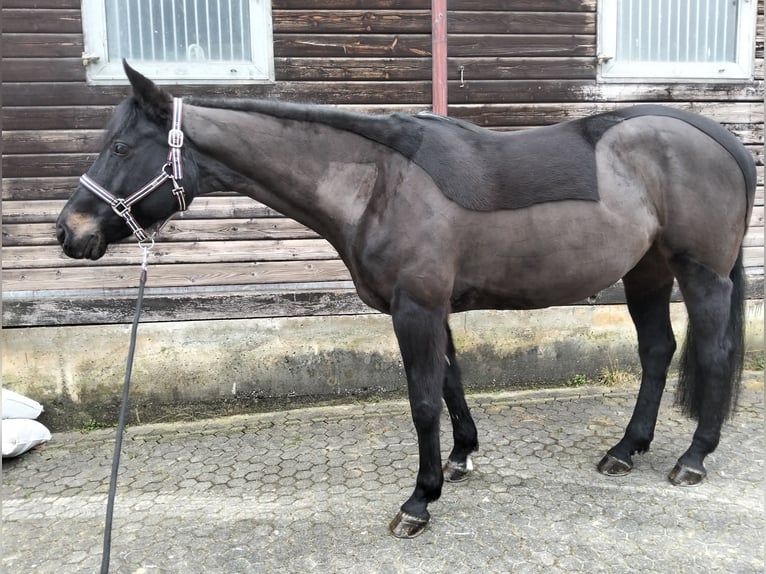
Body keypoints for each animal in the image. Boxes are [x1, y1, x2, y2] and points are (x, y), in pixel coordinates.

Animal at [57, 61, 756, 539]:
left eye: (121, 147)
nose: (70, 231)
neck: (377, 183)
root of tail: (719, 140)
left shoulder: (415, 308)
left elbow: (422, 402)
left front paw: (418, 501)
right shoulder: (431, 308)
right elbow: (449, 384)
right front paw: (462, 457)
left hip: (700, 274)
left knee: (715, 355)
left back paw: (692, 459)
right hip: (647, 273)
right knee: (658, 351)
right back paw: (625, 449)